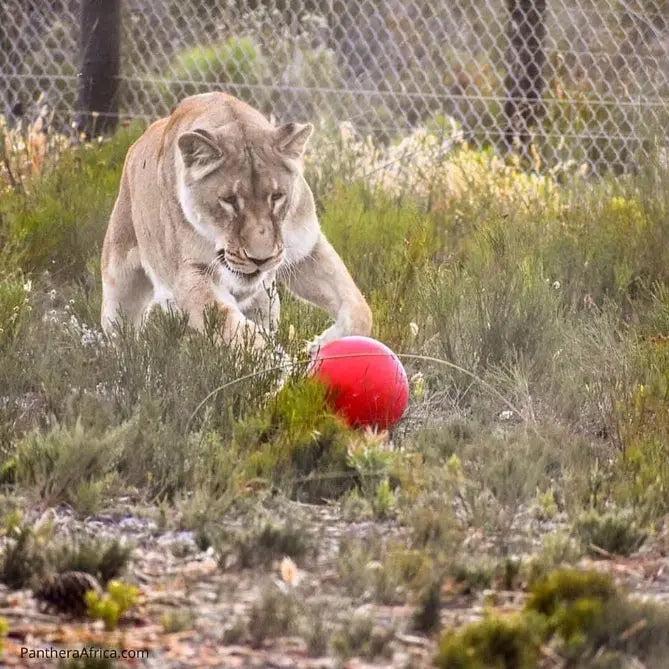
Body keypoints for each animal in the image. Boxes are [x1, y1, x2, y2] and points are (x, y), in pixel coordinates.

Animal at [100, 92, 372, 353]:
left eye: (276, 196)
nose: (260, 260)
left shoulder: (306, 249)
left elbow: (360, 308)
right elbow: (237, 332)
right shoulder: (192, 273)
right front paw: (281, 365)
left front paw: (319, 346)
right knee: (120, 332)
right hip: (120, 280)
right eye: (229, 200)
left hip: (267, 302)